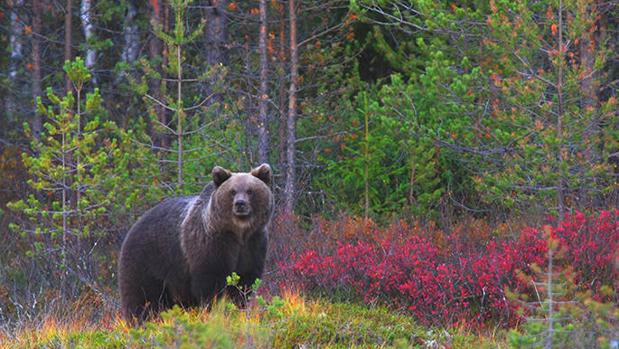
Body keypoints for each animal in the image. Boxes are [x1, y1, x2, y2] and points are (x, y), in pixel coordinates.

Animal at [118, 164, 274, 322]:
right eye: (232, 191)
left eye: (250, 191)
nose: (240, 204)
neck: (238, 232)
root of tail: (133, 226)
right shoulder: (211, 244)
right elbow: (211, 283)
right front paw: (215, 311)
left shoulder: (254, 244)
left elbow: (245, 282)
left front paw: (236, 309)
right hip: (146, 261)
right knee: (142, 298)